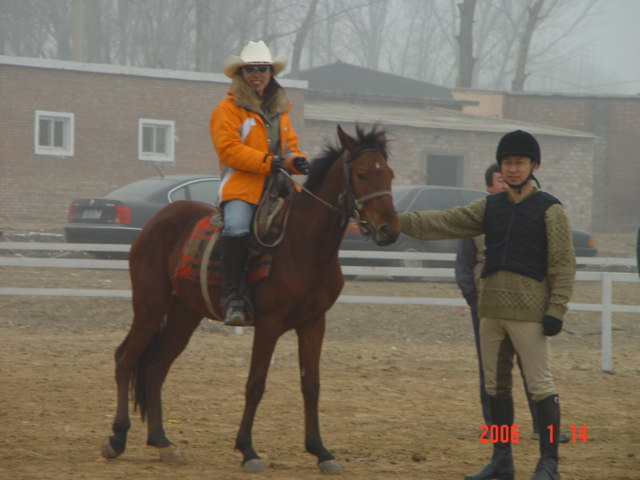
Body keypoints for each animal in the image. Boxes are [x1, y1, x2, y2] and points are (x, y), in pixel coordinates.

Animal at [100, 124, 400, 472]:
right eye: (362, 174)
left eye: (389, 173)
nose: (388, 230)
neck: (304, 245)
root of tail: (158, 221)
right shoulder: (269, 325)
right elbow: (255, 384)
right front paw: (248, 450)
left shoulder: (313, 324)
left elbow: (311, 385)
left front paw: (321, 451)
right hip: (150, 308)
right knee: (125, 358)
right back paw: (117, 437)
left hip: (183, 315)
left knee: (156, 367)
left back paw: (162, 441)